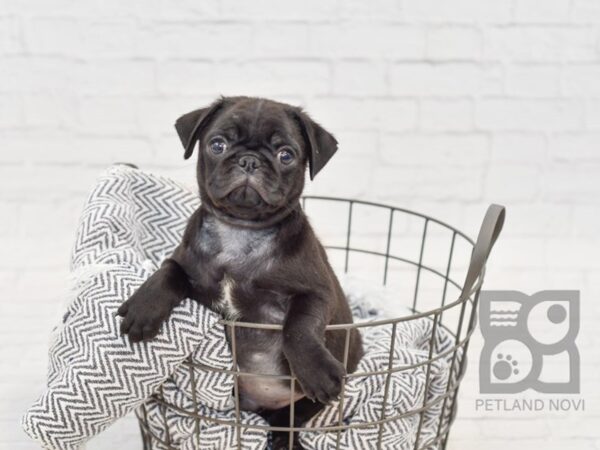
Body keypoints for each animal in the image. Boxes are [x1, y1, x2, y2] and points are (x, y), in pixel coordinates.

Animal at [115, 95, 364, 446]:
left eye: (285, 155)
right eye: (217, 145)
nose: (249, 161)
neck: (240, 234)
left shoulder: (315, 293)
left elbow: (298, 326)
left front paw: (316, 370)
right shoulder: (189, 265)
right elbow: (169, 271)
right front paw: (143, 308)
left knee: (292, 417)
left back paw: (284, 439)